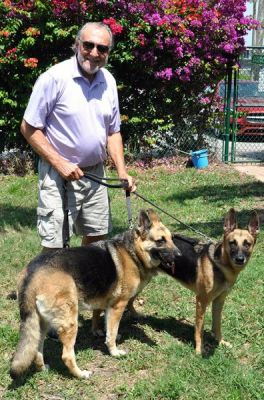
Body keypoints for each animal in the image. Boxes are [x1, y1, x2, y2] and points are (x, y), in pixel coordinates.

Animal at [9, 208, 179, 380]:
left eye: (171, 239)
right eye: (160, 241)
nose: (179, 256)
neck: (133, 252)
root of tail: (32, 273)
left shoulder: (104, 301)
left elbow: (101, 318)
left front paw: (98, 331)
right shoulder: (118, 306)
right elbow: (112, 332)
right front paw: (114, 351)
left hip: (40, 323)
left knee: (36, 350)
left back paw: (43, 368)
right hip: (70, 322)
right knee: (67, 355)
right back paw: (80, 374)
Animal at [159, 208, 260, 354]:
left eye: (247, 244)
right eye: (232, 243)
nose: (240, 259)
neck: (220, 264)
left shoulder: (219, 301)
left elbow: (217, 325)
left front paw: (220, 342)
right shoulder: (201, 301)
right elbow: (199, 329)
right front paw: (198, 350)